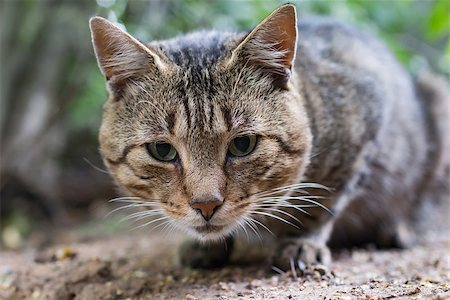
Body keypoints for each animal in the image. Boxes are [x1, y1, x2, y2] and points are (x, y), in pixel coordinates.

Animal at [89, 3, 448, 268]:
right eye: (161, 150)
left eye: (243, 144)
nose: (206, 205)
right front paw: (206, 246)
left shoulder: (365, 122)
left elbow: (324, 202)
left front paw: (301, 242)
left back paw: (398, 227)